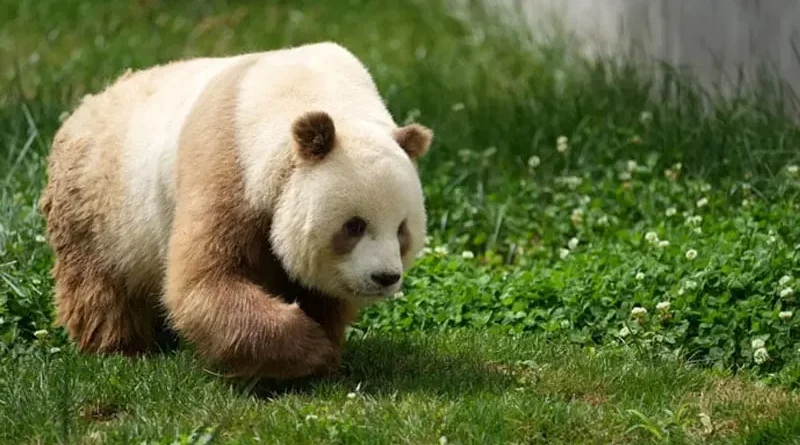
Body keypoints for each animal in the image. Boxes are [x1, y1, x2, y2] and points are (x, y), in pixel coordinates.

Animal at [38, 42, 434, 380]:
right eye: (353, 226)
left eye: (402, 229)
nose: (385, 277)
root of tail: (85, 104)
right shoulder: (228, 159)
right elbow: (205, 280)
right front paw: (309, 349)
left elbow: (319, 293)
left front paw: (325, 351)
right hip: (98, 206)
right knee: (100, 286)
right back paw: (120, 347)